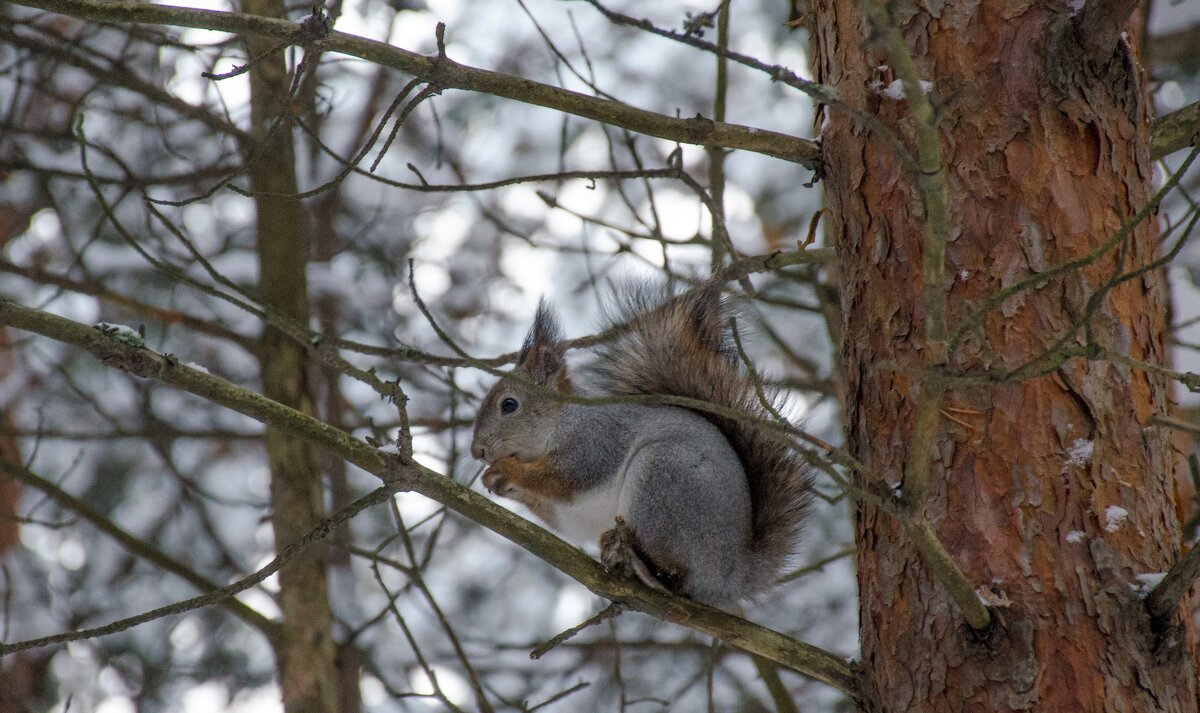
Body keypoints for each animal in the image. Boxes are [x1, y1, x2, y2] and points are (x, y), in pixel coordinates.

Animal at [470, 282, 816, 604]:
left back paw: (644, 565)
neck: (560, 422)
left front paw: (508, 469)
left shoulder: (595, 442)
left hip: (662, 480)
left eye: (509, 405)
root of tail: (733, 575)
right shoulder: (570, 511)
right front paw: (496, 480)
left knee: (677, 577)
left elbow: (565, 479)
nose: (477, 451)